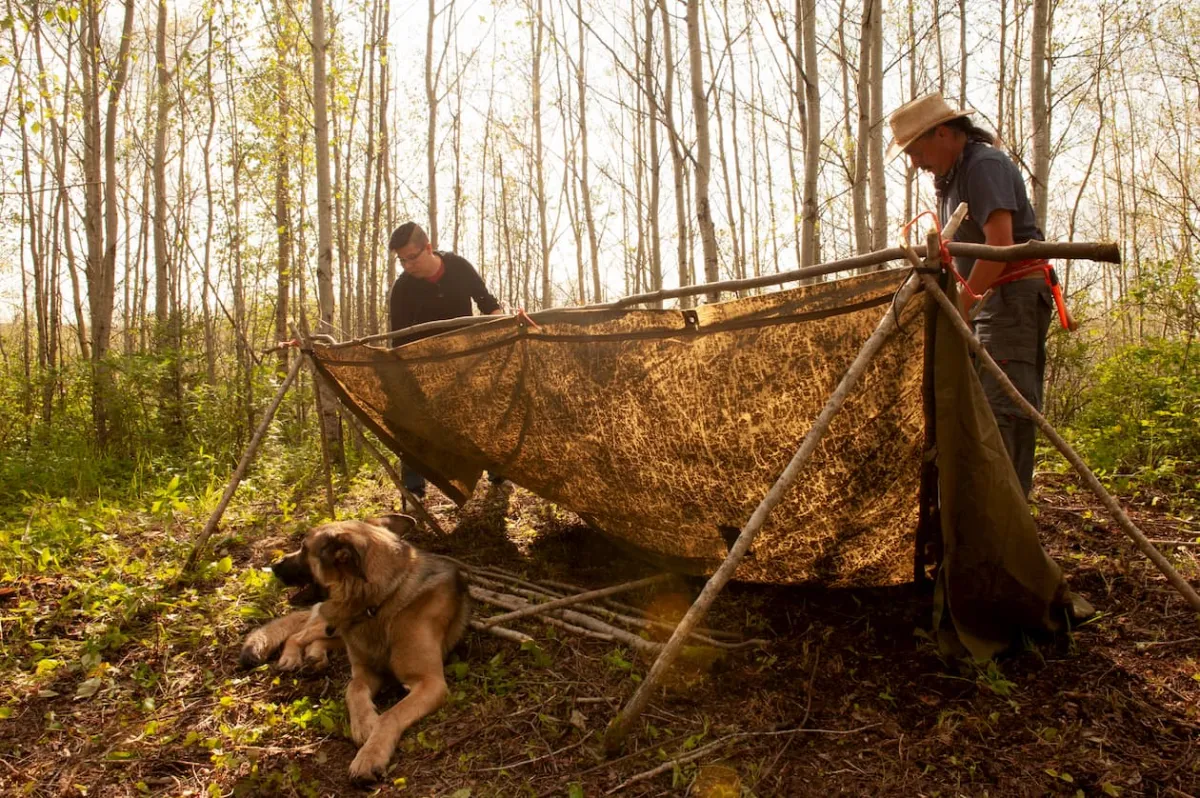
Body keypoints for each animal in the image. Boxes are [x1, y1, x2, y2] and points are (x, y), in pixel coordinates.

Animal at [238, 513, 468, 782]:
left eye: (305, 549)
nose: (274, 566)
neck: (382, 600)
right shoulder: (365, 671)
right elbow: (353, 687)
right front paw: (364, 724)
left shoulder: (430, 683)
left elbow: (391, 714)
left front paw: (370, 755)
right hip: (331, 624)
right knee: (297, 634)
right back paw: (292, 657)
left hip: (337, 630)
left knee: (313, 638)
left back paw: (315, 658)